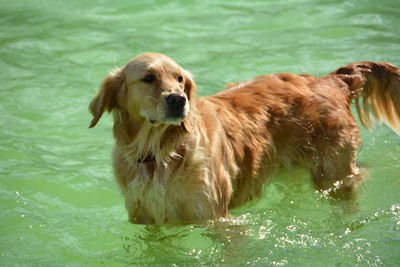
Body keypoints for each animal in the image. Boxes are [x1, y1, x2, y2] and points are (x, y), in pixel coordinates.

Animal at [88, 52, 400, 224]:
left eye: (179, 79)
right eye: (149, 78)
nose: (179, 100)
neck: (160, 155)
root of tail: (330, 81)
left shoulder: (217, 218)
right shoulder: (145, 220)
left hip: (334, 175)